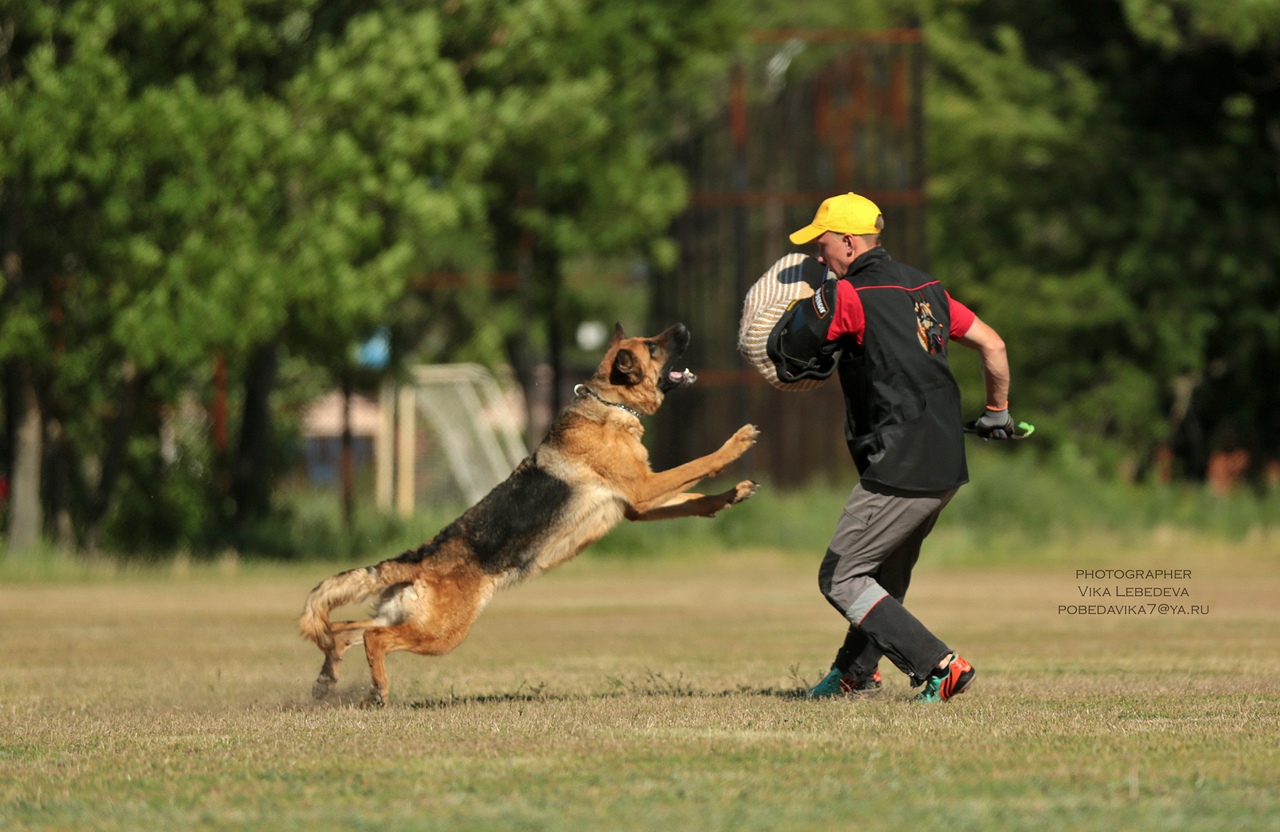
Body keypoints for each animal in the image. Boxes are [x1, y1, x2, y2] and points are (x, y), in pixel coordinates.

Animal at [296, 321, 757, 701]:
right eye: (653, 347)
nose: (682, 326)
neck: (609, 405)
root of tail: (421, 558)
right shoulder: (644, 490)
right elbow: (700, 464)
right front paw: (737, 442)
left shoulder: (637, 506)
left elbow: (695, 498)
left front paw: (732, 494)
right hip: (442, 632)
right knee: (375, 638)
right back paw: (377, 691)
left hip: (412, 618)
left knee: (343, 630)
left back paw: (327, 679)